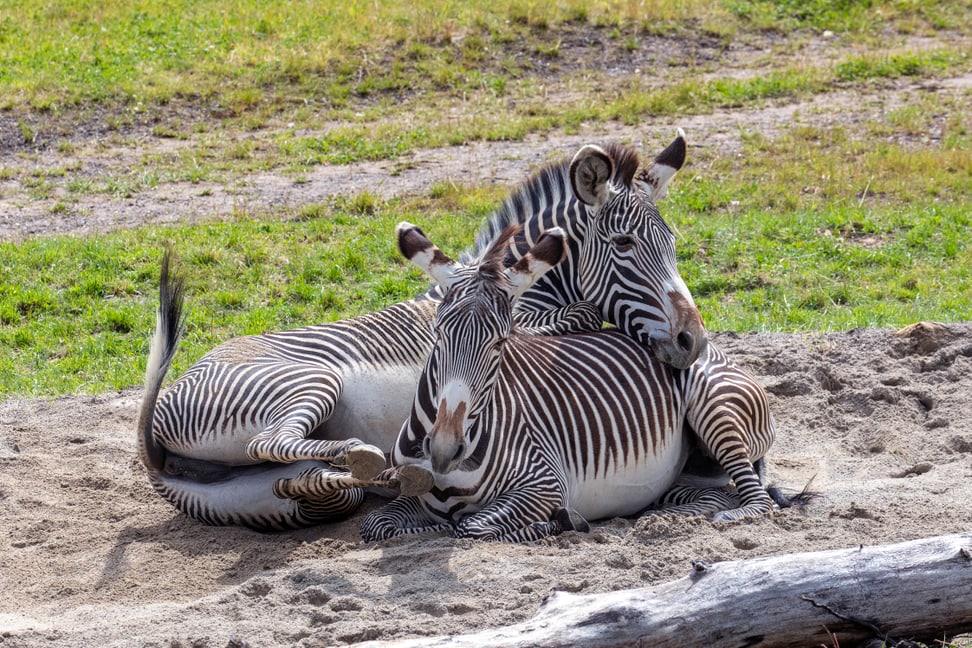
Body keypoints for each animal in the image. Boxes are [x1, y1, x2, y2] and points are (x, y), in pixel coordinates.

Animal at [137, 132, 704, 532]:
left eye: (674, 242)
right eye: (625, 244)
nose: (693, 341)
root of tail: (156, 450)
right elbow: (580, 316)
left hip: (278, 495)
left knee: (299, 481)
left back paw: (380, 472)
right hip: (310, 382)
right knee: (268, 440)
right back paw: (362, 454)